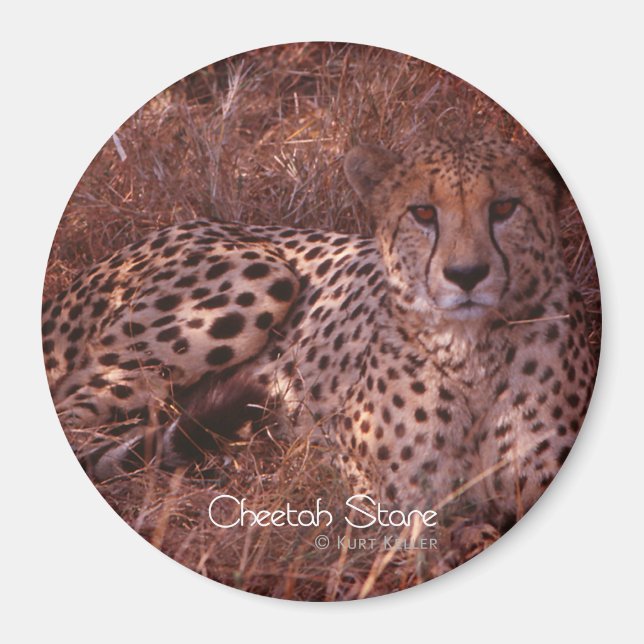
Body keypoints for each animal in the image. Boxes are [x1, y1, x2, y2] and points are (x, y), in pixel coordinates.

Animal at [42, 135, 597, 560]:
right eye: (423, 212)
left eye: (504, 207)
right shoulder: (379, 492)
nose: (466, 275)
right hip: (261, 275)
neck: (473, 354)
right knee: (77, 418)